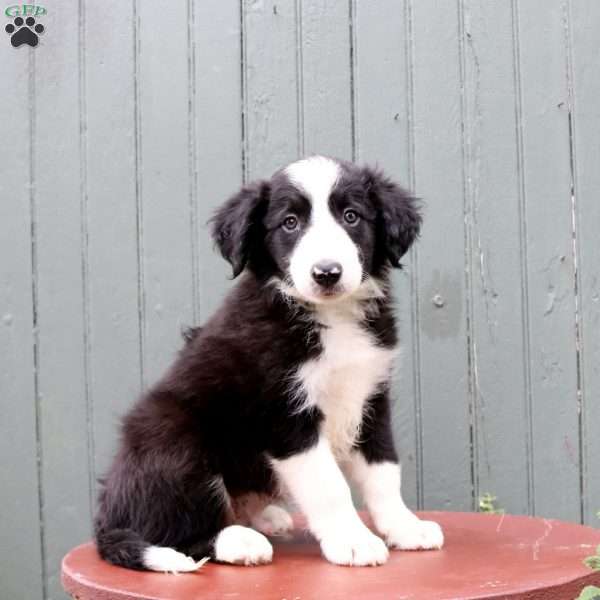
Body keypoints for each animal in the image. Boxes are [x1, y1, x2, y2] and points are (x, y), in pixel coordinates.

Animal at [95, 154, 446, 572]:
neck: (331, 317)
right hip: (172, 436)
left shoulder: (370, 397)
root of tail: (108, 512)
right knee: (181, 532)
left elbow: (384, 472)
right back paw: (239, 541)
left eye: (351, 216)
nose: (327, 273)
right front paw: (352, 542)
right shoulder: (284, 414)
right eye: (289, 223)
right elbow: (329, 485)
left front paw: (405, 527)